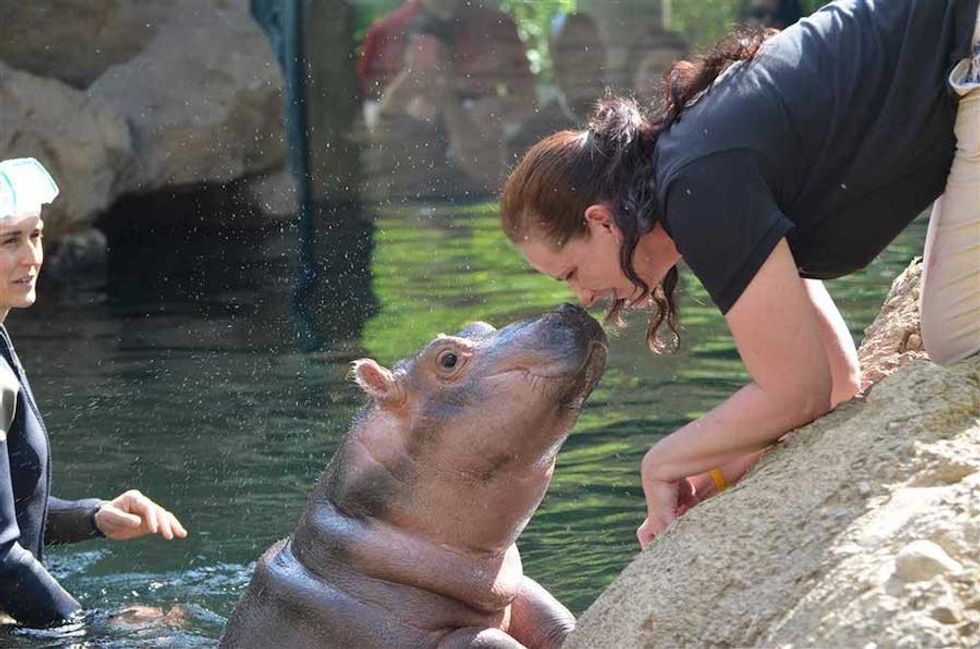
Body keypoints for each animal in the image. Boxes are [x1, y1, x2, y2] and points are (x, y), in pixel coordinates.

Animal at [219, 304, 607, 649]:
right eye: (447, 359)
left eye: (480, 326)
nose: (570, 308)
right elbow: (487, 639)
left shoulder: (523, 593)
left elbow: (557, 620)